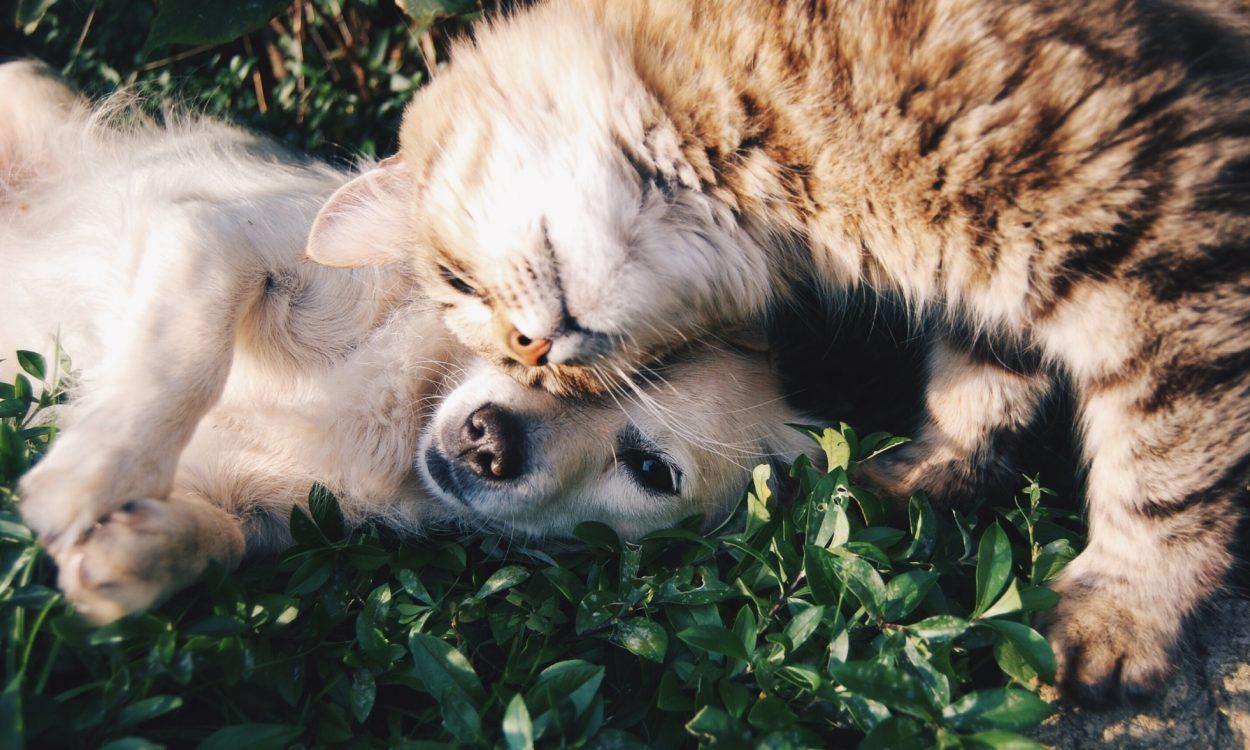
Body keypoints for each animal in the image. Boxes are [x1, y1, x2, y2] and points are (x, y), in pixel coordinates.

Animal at [2, 64, 820, 625]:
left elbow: (224, 541)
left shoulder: (266, 510)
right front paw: (91, 475)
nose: (490, 441)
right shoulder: (216, 237)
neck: (404, 409)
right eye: (532, 341)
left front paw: (137, 553)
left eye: (651, 470)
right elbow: (183, 361)